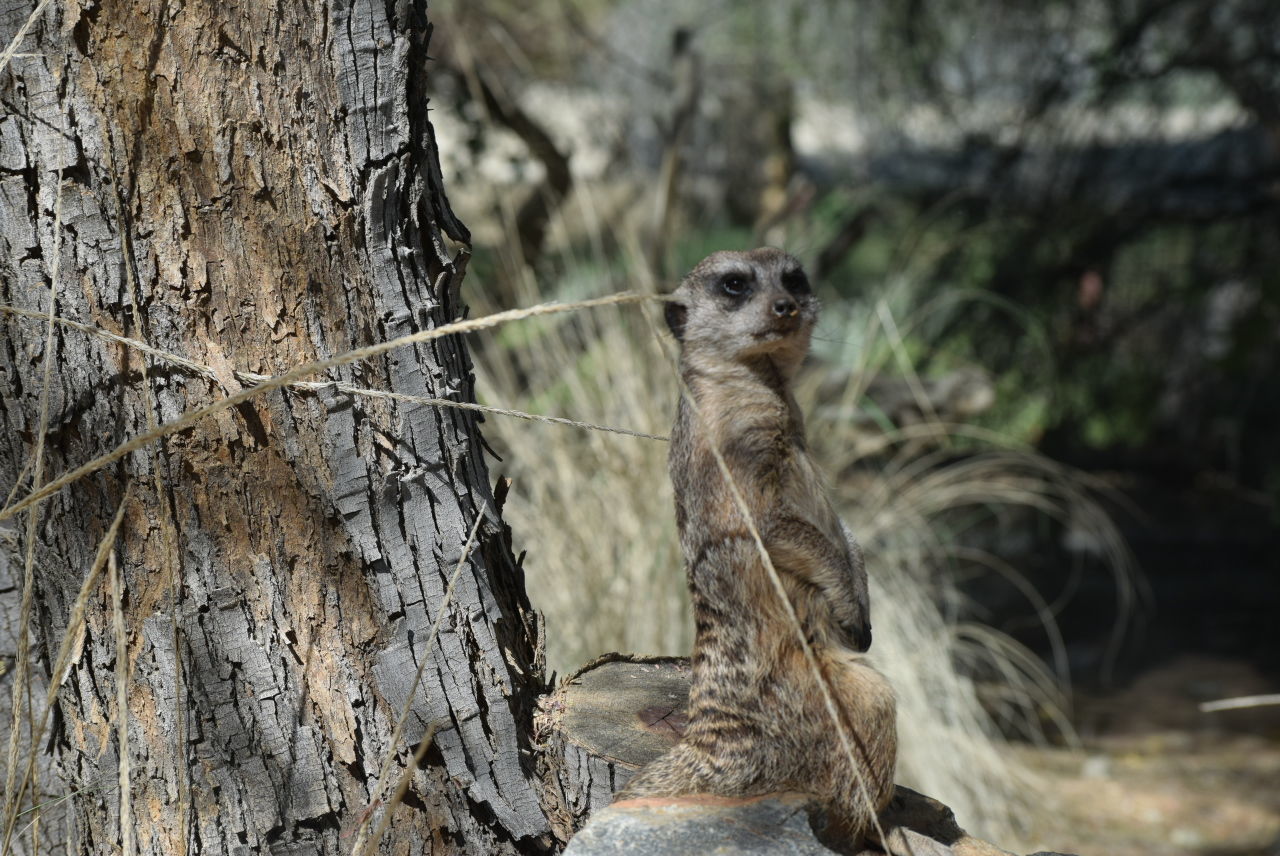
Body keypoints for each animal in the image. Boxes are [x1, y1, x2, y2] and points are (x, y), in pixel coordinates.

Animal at [614, 248, 896, 849]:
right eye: (735, 285)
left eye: (794, 278)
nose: (786, 305)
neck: (761, 386)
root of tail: (708, 742)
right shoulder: (736, 445)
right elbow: (770, 524)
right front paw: (848, 607)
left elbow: (843, 529)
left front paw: (862, 602)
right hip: (831, 694)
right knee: (870, 716)